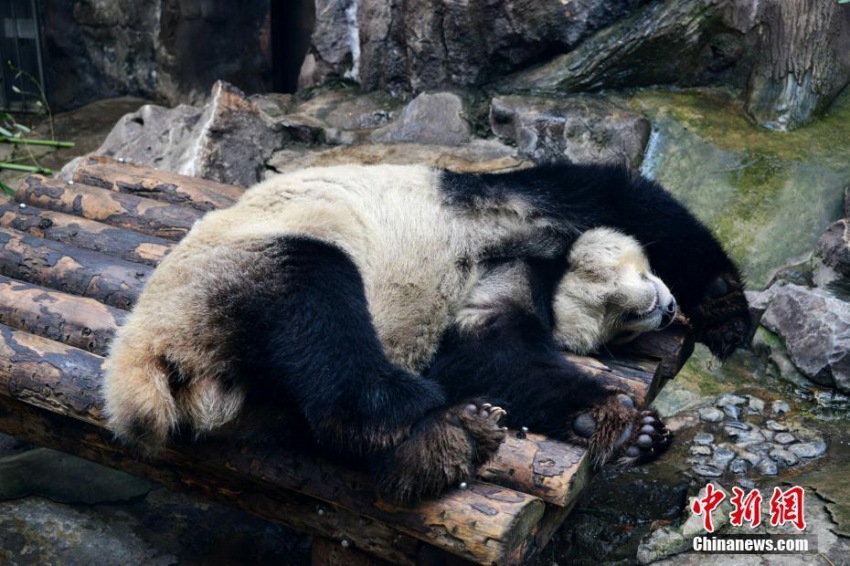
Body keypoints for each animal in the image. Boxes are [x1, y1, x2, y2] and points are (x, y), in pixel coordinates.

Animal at [102, 163, 744, 506]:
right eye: (623, 310)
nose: (661, 308)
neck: (550, 265)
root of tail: (143, 361)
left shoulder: (500, 278)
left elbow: (487, 346)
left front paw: (620, 429)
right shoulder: (506, 206)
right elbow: (623, 199)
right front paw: (721, 303)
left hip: (251, 393)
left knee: (307, 421)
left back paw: (440, 445)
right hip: (244, 265)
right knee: (320, 316)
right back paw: (433, 419)